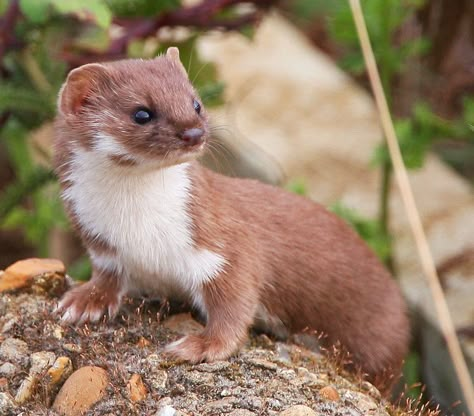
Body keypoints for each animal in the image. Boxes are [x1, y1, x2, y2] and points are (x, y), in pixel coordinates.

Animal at [52, 47, 408, 386]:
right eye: (141, 113)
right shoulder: (101, 241)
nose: (193, 133)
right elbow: (108, 276)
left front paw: (201, 345)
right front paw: (85, 301)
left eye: (195, 102)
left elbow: (234, 301)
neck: (136, 227)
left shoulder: (221, 241)